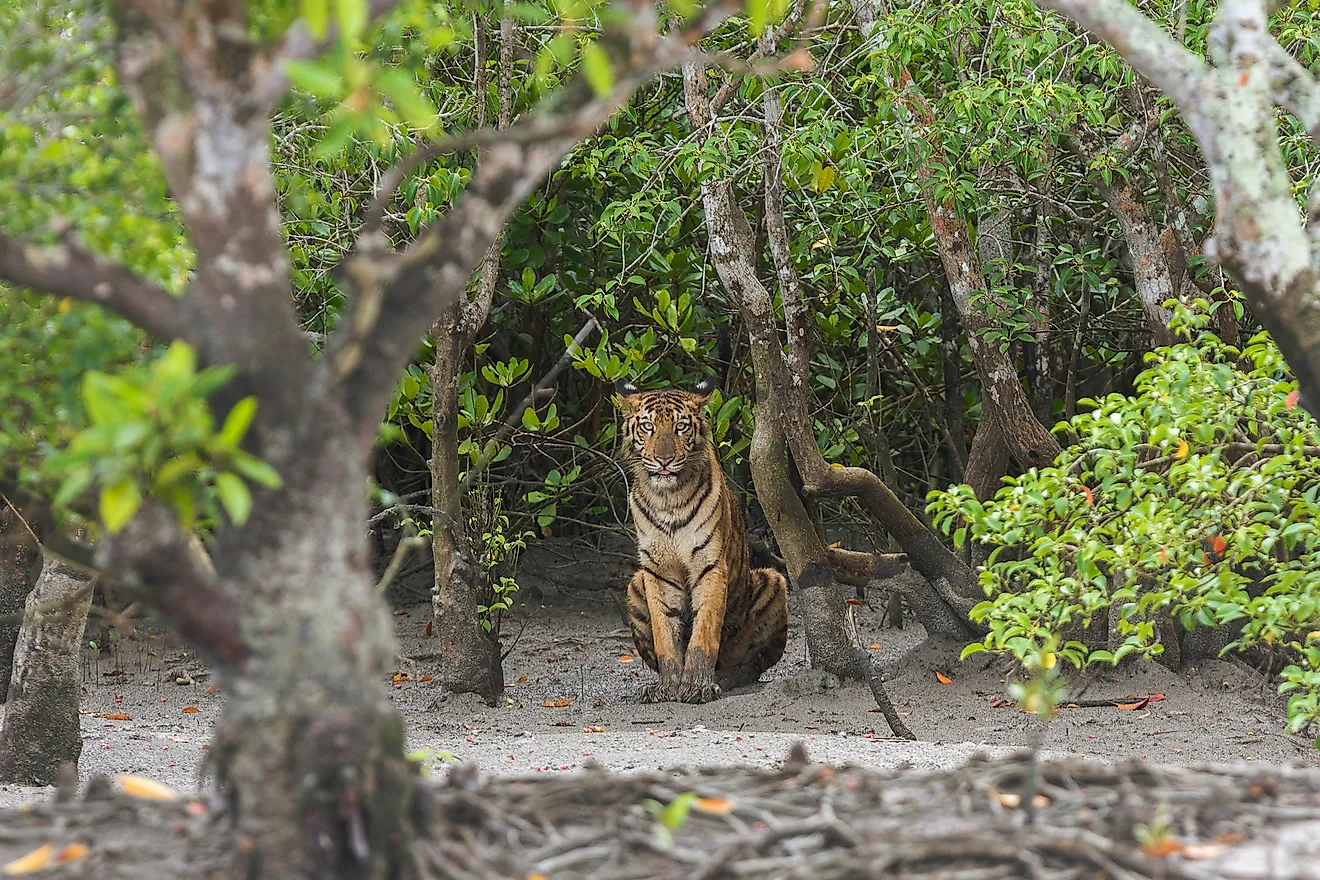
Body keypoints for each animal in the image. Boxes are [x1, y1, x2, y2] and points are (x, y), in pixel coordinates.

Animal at [615, 374, 786, 707]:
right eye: (648, 426)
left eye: (681, 427)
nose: (664, 460)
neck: (667, 498)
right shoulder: (657, 572)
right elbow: (665, 634)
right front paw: (667, 686)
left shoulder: (710, 566)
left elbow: (704, 632)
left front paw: (697, 686)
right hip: (635, 584)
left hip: (773, 581)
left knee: (755, 663)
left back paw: (727, 677)